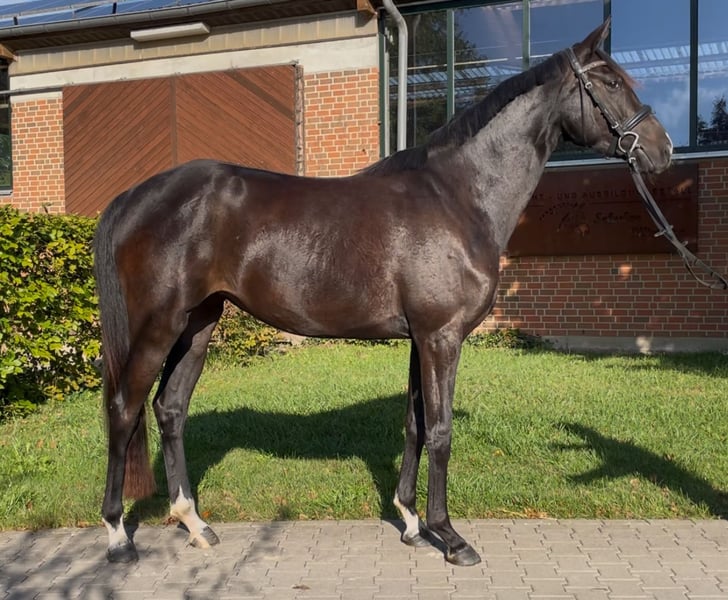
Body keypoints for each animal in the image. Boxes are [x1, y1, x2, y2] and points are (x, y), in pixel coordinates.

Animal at [94, 19, 672, 567]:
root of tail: (135, 196)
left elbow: (414, 424)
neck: (458, 196)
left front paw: (412, 521)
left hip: (199, 322)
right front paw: (450, 537)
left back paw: (194, 523)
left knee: (170, 408)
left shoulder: (422, 338)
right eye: (611, 82)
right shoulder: (442, 337)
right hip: (159, 324)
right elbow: (440, 431)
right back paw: (118, 535)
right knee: (124, 408)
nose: (662, 150)